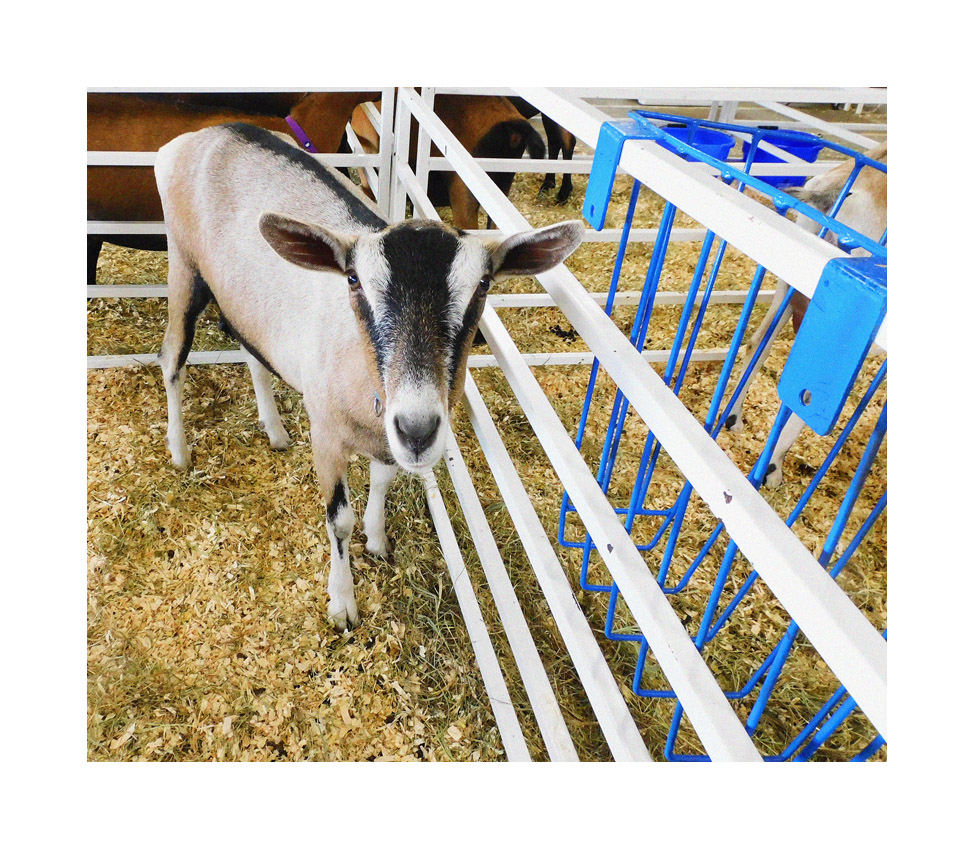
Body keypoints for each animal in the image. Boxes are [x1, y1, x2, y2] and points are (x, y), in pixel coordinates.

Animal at [153, 122, 584, 630]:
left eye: (483, 285)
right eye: (353, 280)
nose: (419, 428)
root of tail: (205, 133)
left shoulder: (387, 435)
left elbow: (382, 479)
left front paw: (377, 541)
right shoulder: (325, 432)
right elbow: (338, 519)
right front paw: (342, 604)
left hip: (242, 299)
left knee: (249, 348)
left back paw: (274, 429)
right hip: (183, 264)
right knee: (172, 357)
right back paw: (179, 450)